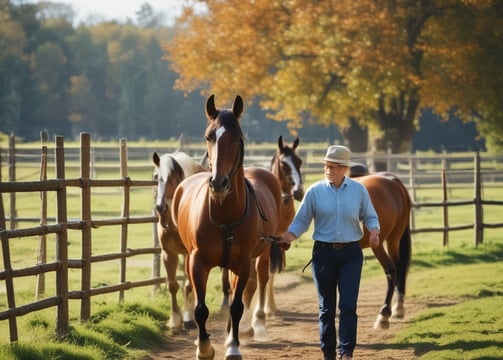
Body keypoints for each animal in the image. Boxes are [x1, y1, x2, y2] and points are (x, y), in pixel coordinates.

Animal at [155, 151, 208, 330]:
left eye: (172, 177)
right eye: (156, 176)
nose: (161, 207)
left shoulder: (190, 254)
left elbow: (189, 284)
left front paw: (188, 318)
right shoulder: (168, 253)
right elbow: (173, 285)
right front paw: (175, 319)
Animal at [172, 94, 284, 358]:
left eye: (239, 137)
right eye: (208, 136)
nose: (218, 183)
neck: (225, 218)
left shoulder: (242, 263)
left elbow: (236, 306)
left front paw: (233, 346)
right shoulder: (197, 261)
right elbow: (201, 308)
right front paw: (203, 348)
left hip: (259, 256)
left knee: (253, 284)